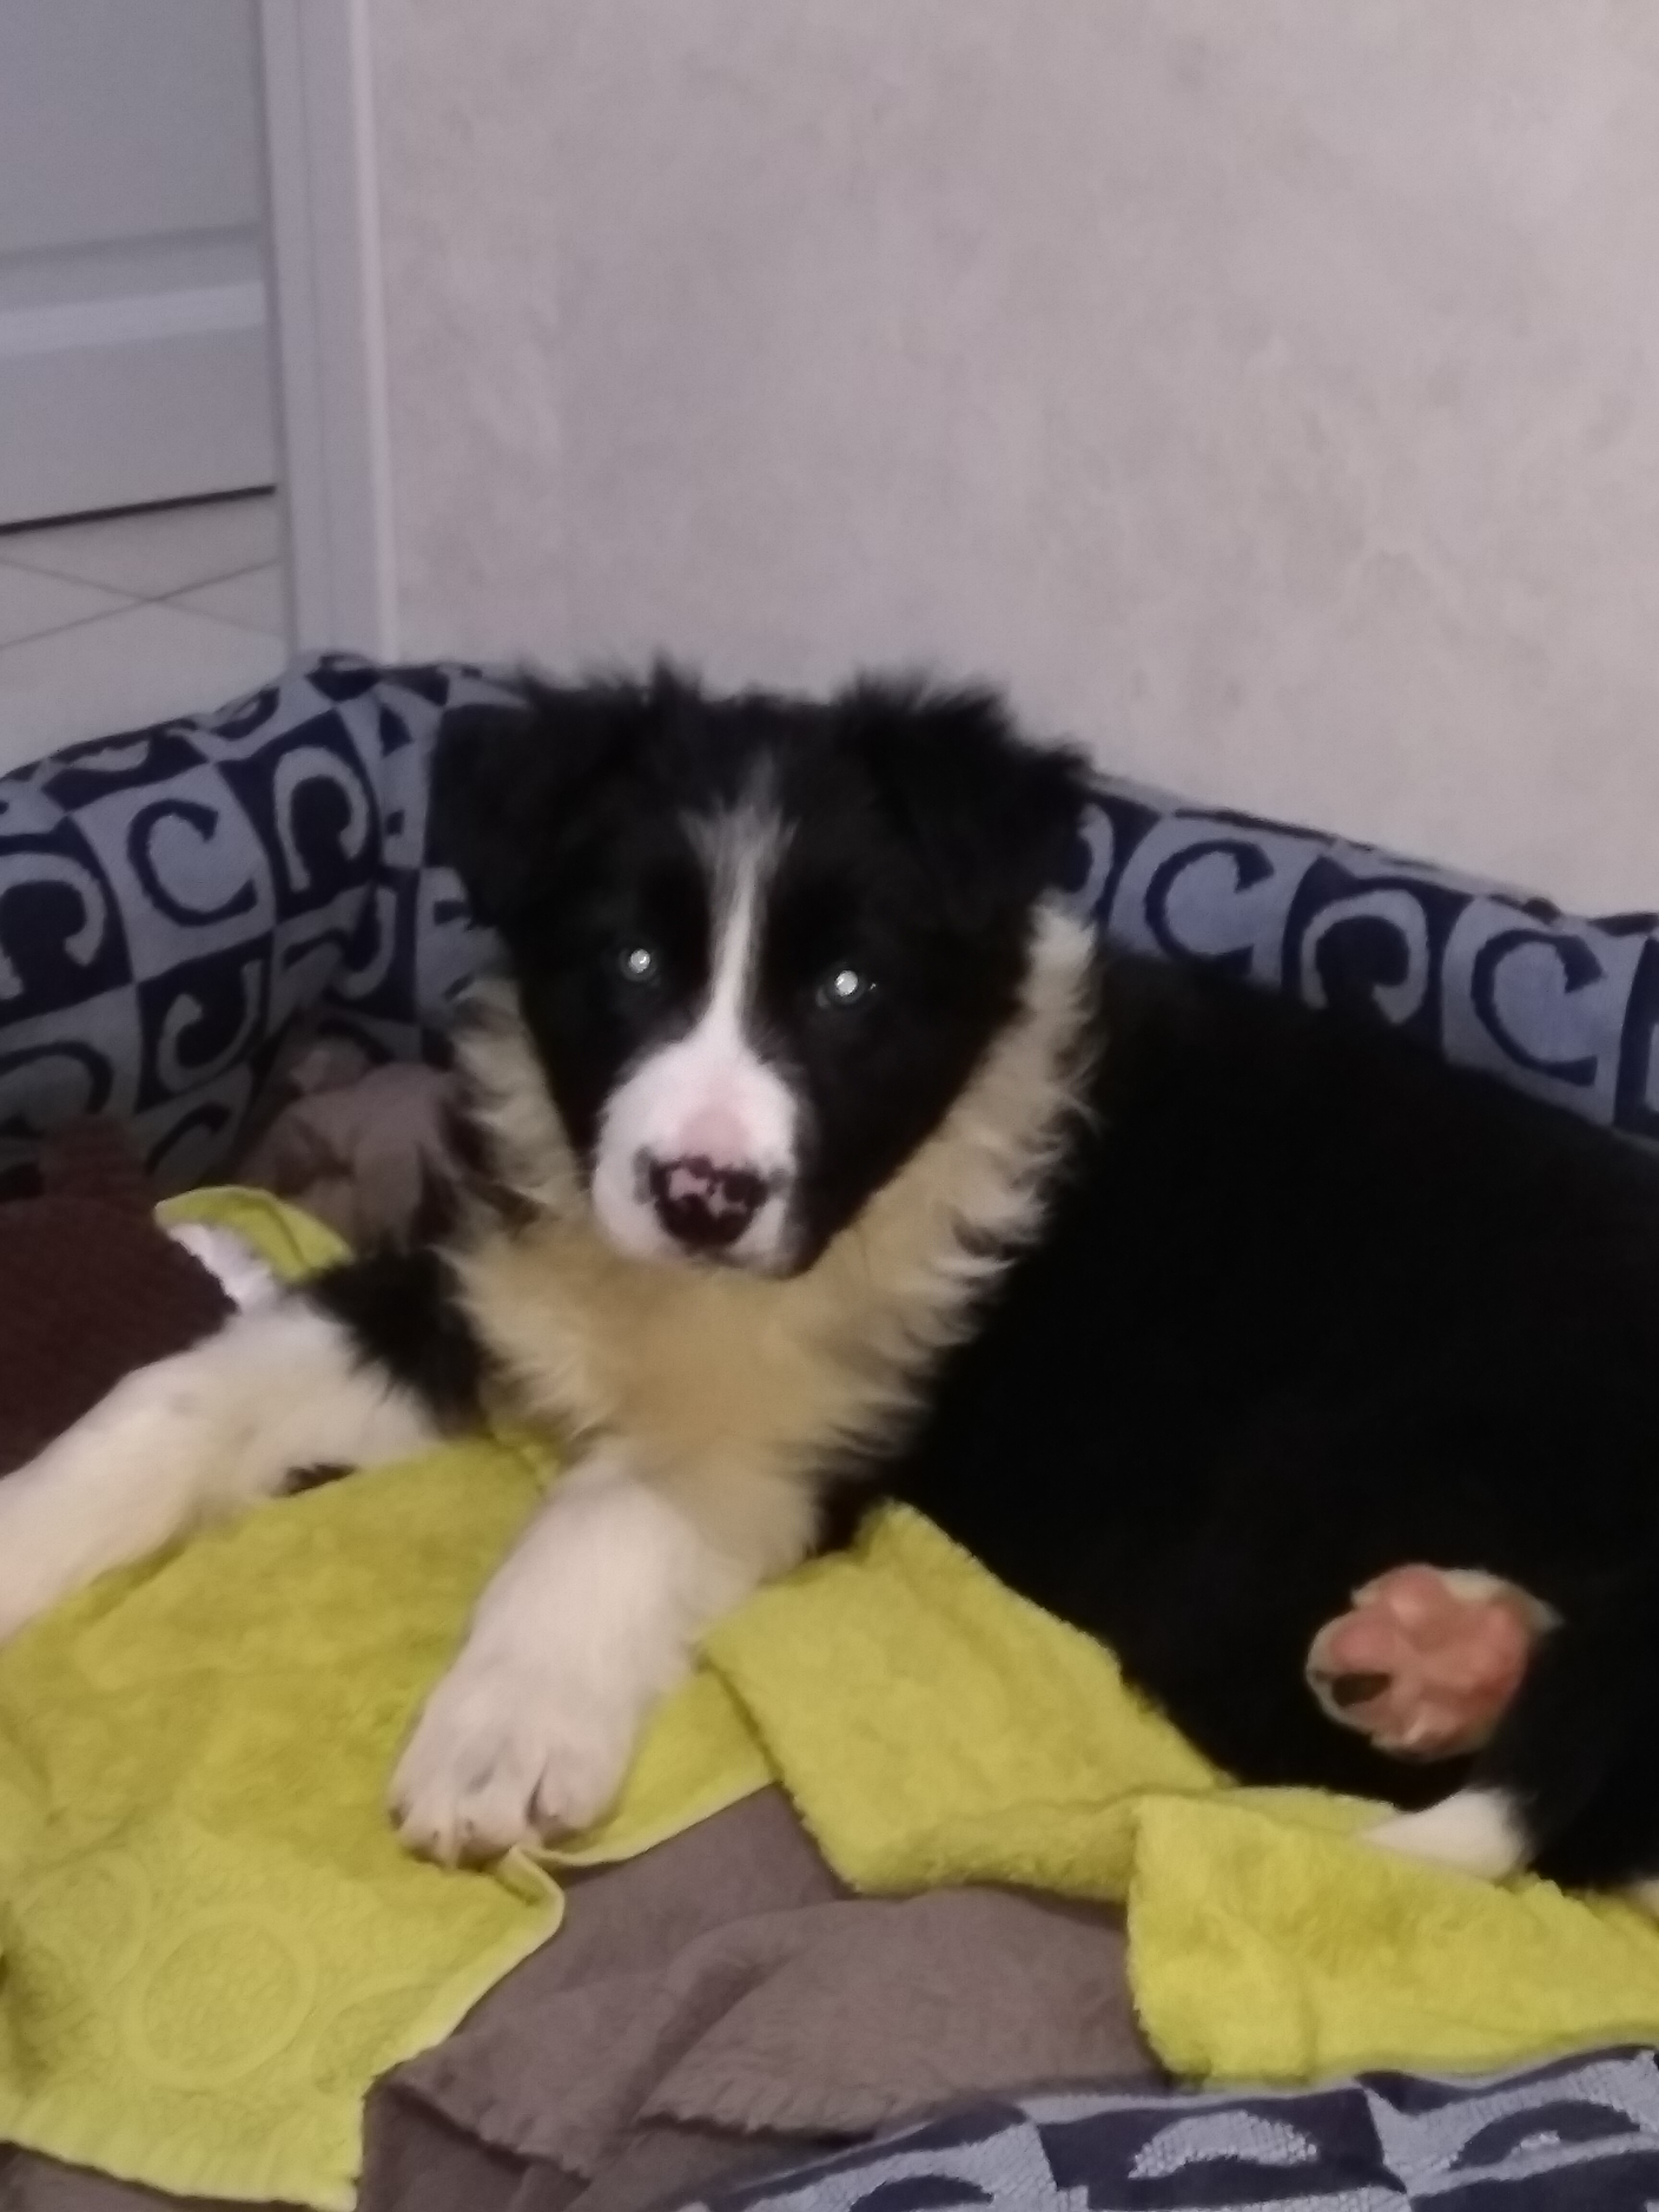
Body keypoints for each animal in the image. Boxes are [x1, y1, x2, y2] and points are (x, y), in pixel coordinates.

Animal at [3, 667, 1658, 1899]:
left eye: (850, 990)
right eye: (631, 963)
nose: (703, 1194)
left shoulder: (786, 1444)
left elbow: (591, 1522)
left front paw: (496, 1738)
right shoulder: (470, 1285)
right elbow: (175, 1396)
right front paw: (25, 1538)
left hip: (1259, 1522)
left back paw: (1440, 1659)